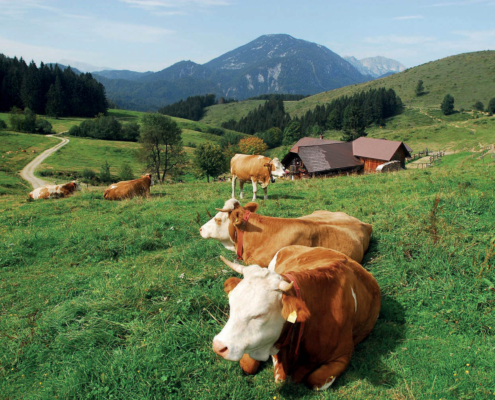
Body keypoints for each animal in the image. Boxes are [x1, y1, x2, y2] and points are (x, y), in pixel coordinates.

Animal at [211, 245, 382, 390]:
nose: (218, 346)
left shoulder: (343, 355)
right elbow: (247, 365)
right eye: (231, 304)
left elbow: (315, 381)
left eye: (261, 314)